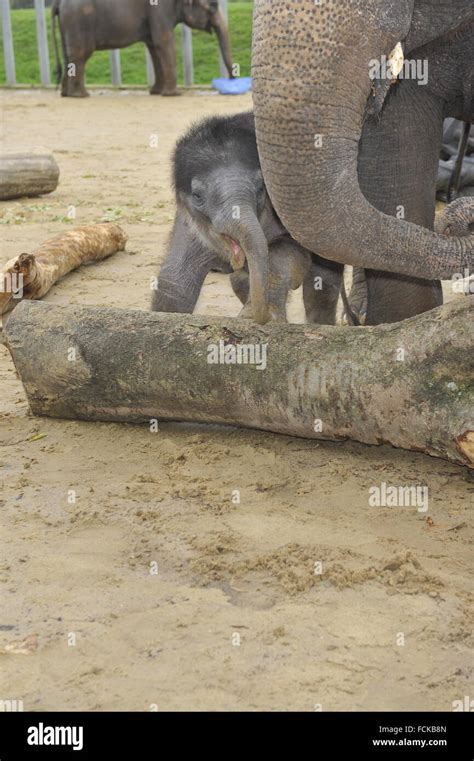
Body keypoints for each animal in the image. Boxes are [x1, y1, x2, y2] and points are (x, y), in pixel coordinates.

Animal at [51, 0, 233, 98]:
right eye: (213, 6)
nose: (233, 78)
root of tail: (58, 2)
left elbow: (154, 47)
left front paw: (156, 92)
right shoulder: (159, 9)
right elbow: (164, 42)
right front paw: (174, 94)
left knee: (68, 56)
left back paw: (66, 94)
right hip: (79, 21)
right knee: (81, 55)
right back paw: (81, 95)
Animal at [150, 113, 342, 324]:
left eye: (260, 189)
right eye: (198, 196)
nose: (261, 316)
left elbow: (287, 252)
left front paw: (254, 316)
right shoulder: (188, 224)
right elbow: (174, 281)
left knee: (323, 283)